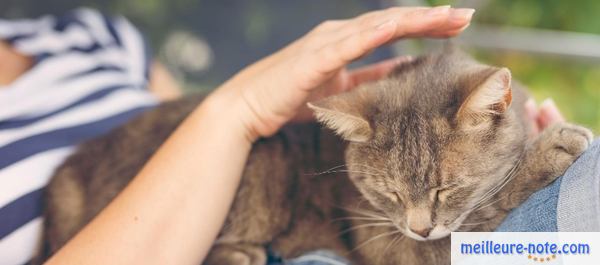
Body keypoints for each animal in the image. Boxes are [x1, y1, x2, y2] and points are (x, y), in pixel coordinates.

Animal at [39, 48, 592, 262]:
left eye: (445, 189)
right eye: (389, 194)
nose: (419, 226)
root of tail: (67, 171)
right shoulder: (397, 247)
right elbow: (487, 211)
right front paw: (550, 148)